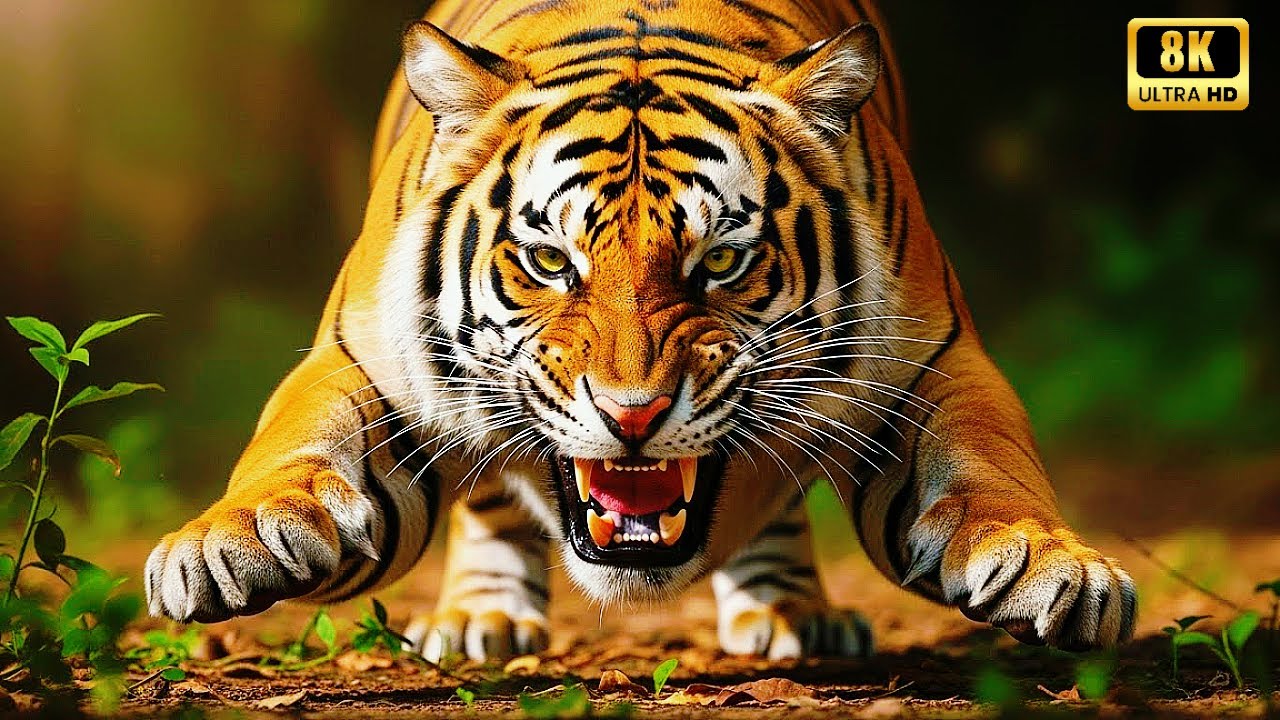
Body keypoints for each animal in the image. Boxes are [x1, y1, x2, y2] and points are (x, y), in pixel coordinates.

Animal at [145, 0, 1136, 661]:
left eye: (722, 262)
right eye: (549, 261)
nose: (631, 415)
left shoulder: (935, 356)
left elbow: (986, 456)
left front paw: (1045, 564)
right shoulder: (364, 360)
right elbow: (295, 438)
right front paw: (236, 539)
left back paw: (796, 617)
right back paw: (478, 619)